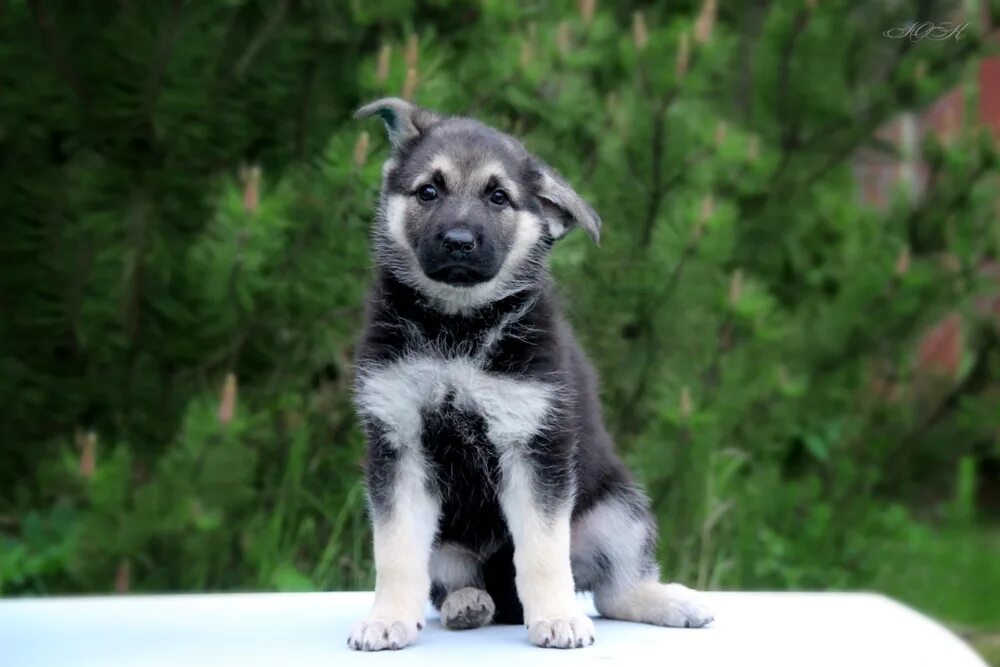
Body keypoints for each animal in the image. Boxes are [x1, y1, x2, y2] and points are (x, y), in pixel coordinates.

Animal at [350, 99, 712, 652]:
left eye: (498, 197)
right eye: (429, 190)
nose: (459, 242)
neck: (459, 326)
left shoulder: (534, 446)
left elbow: (542, 551)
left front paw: (558, 618)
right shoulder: (400, 445)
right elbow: (395, 550)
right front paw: (387, 618)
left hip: (617, 512)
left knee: (612, 589)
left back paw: (667, 601)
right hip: (450, 543)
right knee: (457, 579)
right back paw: (467, 604)